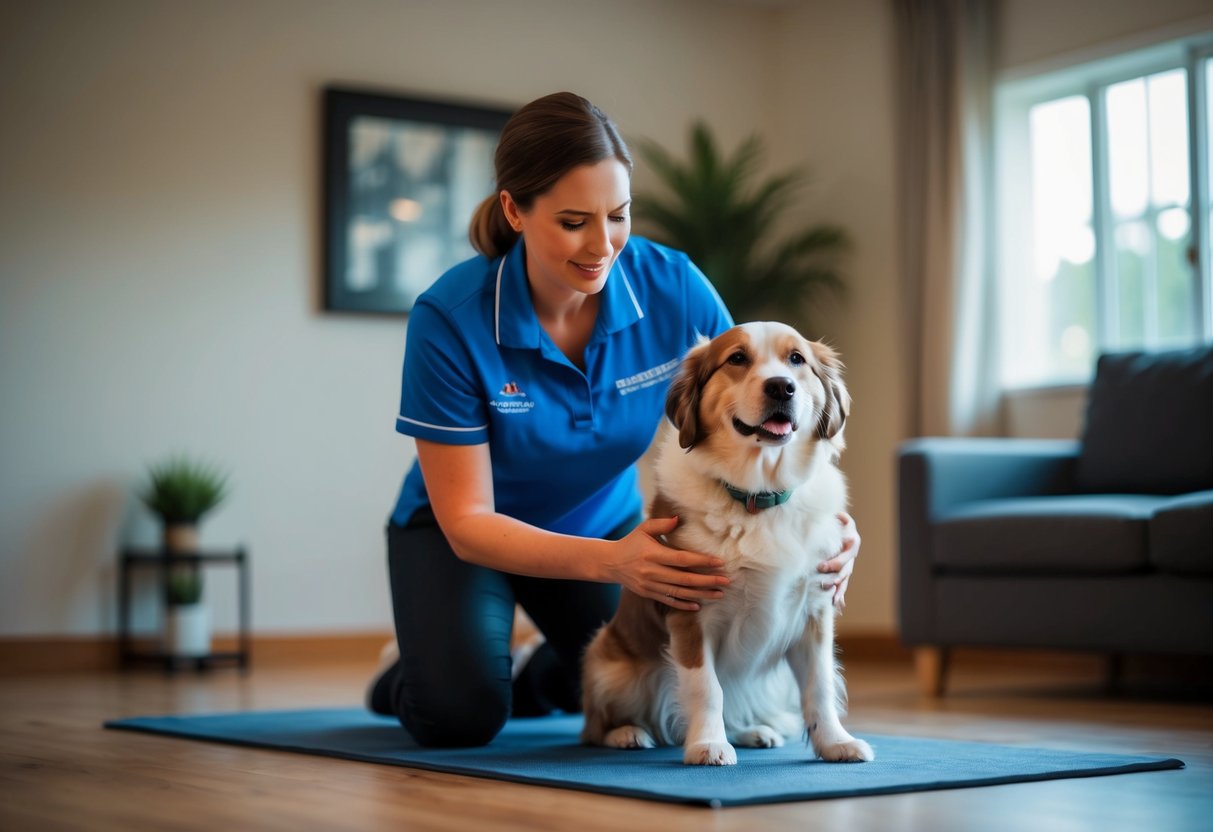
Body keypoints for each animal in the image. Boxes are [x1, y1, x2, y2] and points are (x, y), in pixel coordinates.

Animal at [579, 320, 873, 771]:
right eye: (737, 358)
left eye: (796, 359)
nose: (781, 387)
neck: (758, 497)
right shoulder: (689, 612)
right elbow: (707, 687)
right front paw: (707, 745)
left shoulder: (814, 611)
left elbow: (820, 685)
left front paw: (835, 742)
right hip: (607, 667)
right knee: (594, 728)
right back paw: (626, 733)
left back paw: (753, 731)